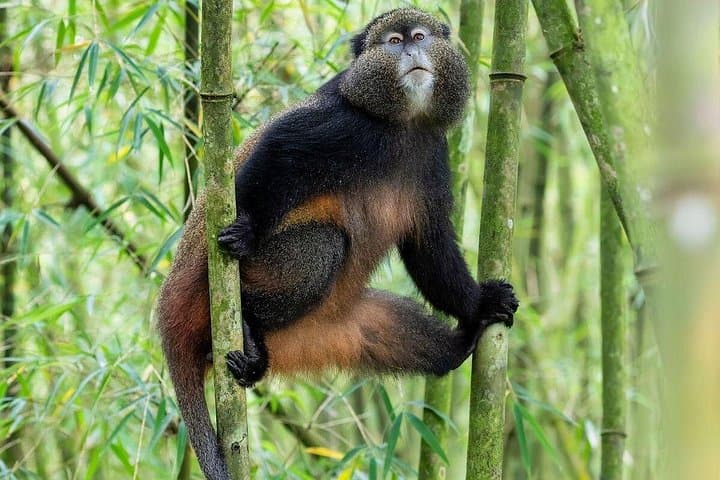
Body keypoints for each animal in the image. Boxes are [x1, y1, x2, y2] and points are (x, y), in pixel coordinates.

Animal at [156, 8, 518, 480]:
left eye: (419, 36)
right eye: (393, 42)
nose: (411, 51)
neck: (403, 124)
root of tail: (169, 307)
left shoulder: (435, 156)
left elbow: (430, 248)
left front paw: (482, 304)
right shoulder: (344, 123)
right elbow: (280, 149)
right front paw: (246, 229)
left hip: (333, 328)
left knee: (400, 335)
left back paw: (459, 342)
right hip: (221, 289)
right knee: (326, 242)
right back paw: (251, 327)